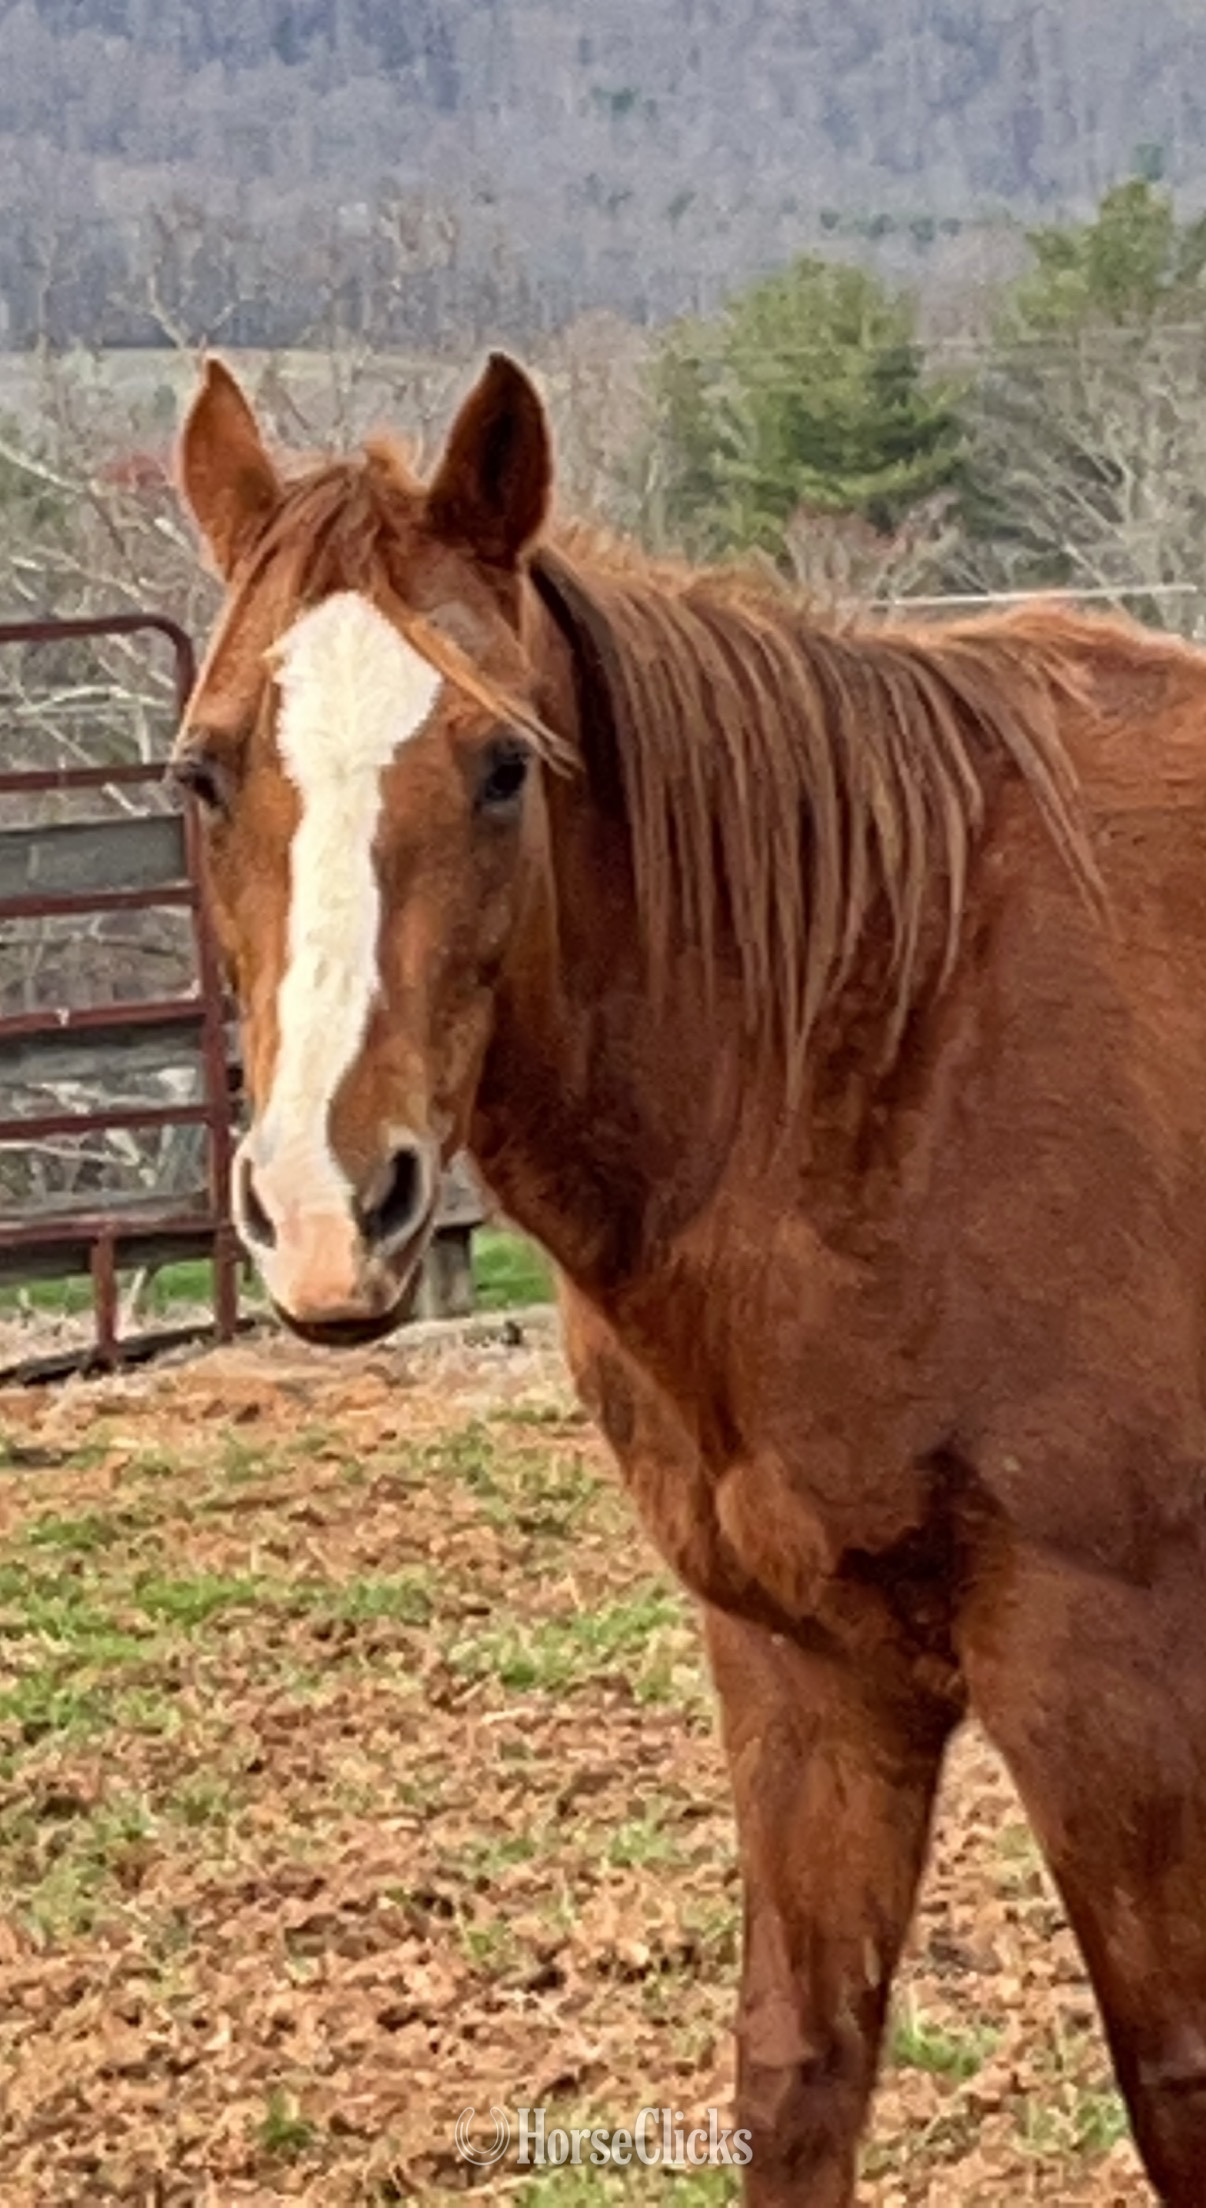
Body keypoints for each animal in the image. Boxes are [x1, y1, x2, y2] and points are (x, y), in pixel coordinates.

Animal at [172, 349, 1206, 2206]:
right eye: (207, 772)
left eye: (503, 767)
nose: (325, 1207)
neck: (883, 1044)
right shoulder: (803, 1664)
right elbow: (797, 2074)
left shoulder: (1110, 1683)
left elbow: (1176, 2089)